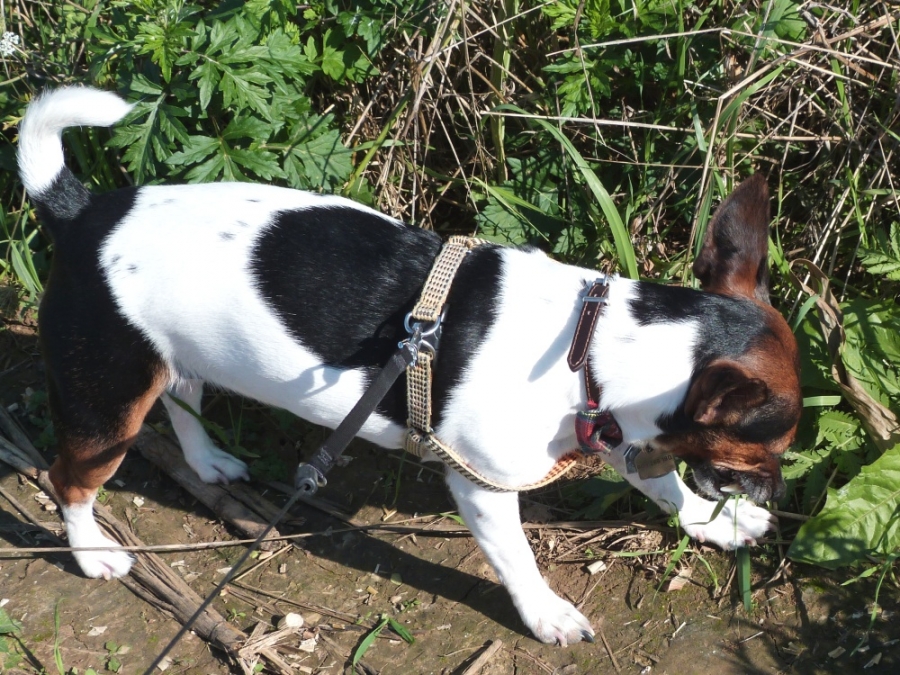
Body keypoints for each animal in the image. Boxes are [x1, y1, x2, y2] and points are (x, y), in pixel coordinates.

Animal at [18, 87, 801, 646]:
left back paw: (207, 463)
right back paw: (92, 552)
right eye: (773, 443)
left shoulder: (607, 429)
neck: (594, 339)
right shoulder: (485, 485)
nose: (779, 492)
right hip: (105, 404)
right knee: (69, 479)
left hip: (168, 361)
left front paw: (711, 522)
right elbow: (517, 559)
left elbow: (663, 484)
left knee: (182, 399)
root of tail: (82, 215)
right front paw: (546, 613)